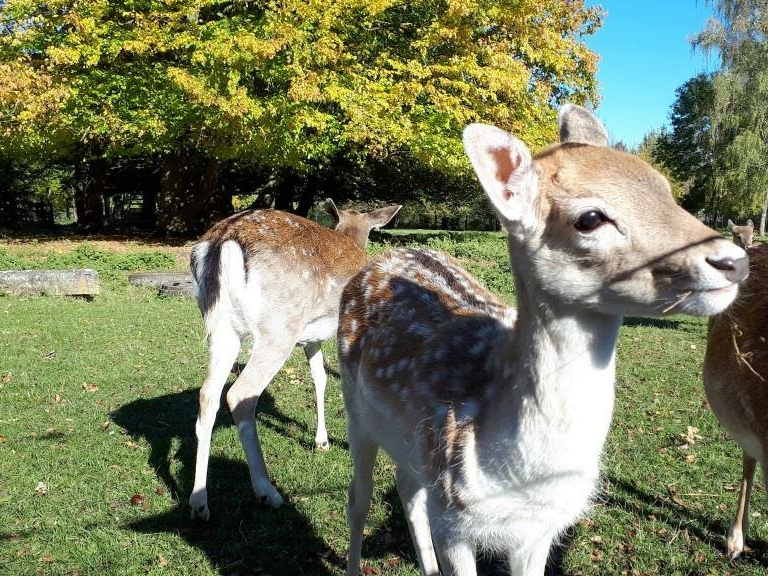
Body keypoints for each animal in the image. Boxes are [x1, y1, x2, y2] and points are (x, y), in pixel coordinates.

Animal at [188, 199, 401, 521]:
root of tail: (223, 241)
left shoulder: (311, 338)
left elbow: (320, 377)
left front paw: (322, 441)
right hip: (279, 327)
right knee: (239, 394)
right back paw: (268, 491)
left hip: (221, 327)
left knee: (208, 394)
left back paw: (199, 502)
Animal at [337, 104, 749, 576]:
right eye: (590, 218)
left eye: (663, 187)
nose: (734, 261)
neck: (524, 477)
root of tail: (382, 259)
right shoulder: (453, 517)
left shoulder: (540, 529)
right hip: (355, 408)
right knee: (359, 498)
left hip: (411, 449)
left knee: (408, 489)